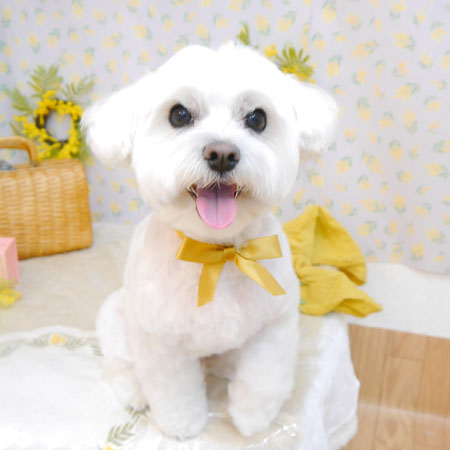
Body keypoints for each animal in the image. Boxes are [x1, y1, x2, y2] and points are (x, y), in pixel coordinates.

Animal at [82, 43, 337, 440]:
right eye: (179, 114)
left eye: (257, 118)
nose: (221, 154)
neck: (217, 252)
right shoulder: (161, 343)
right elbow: (174, 391)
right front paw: (183, 425)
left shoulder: (274, 325)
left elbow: (264, 379)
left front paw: (251, 419)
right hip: (115, 316)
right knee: (120, 365)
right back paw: (136, 393)